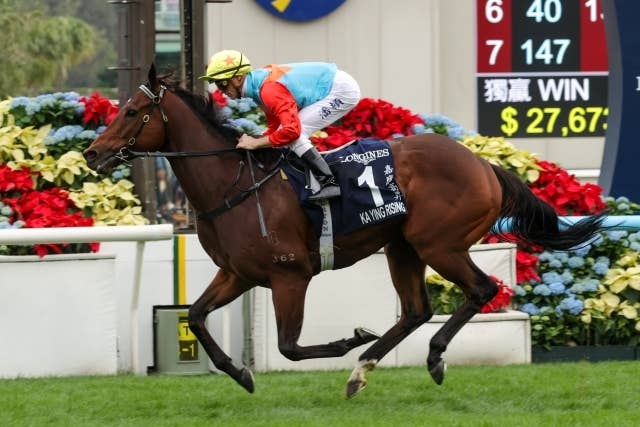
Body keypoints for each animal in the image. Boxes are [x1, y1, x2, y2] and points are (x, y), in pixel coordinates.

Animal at [83, 65, 604, 398]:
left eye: (132, 111)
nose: (92, 153)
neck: (233, 184)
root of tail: (482, 164)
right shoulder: (238, 273)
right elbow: (194, 316)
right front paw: (240, 374)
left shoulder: (290, 274)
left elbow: (289, 347)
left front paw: (346, 341)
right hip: (403, 247)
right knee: (416, 310)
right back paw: (362, 370)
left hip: (439, 244)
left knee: (481, 289)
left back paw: (429, 357)